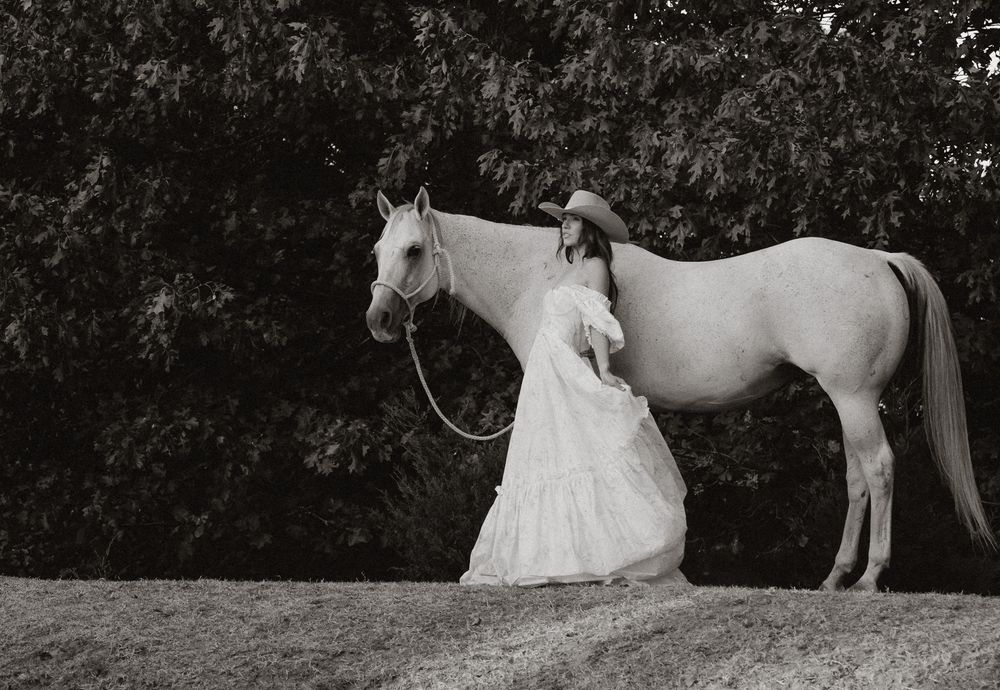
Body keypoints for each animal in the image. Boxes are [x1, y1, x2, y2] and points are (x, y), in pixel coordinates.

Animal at [365, 187, 996, 591]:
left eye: (414, 251)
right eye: (377, 251)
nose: (379, 320)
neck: (542, 276)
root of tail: (880, 258)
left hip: (855, 397)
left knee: (880, 468)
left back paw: (868, 577)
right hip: (848, 403)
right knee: (858, 476)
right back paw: (836, 577)